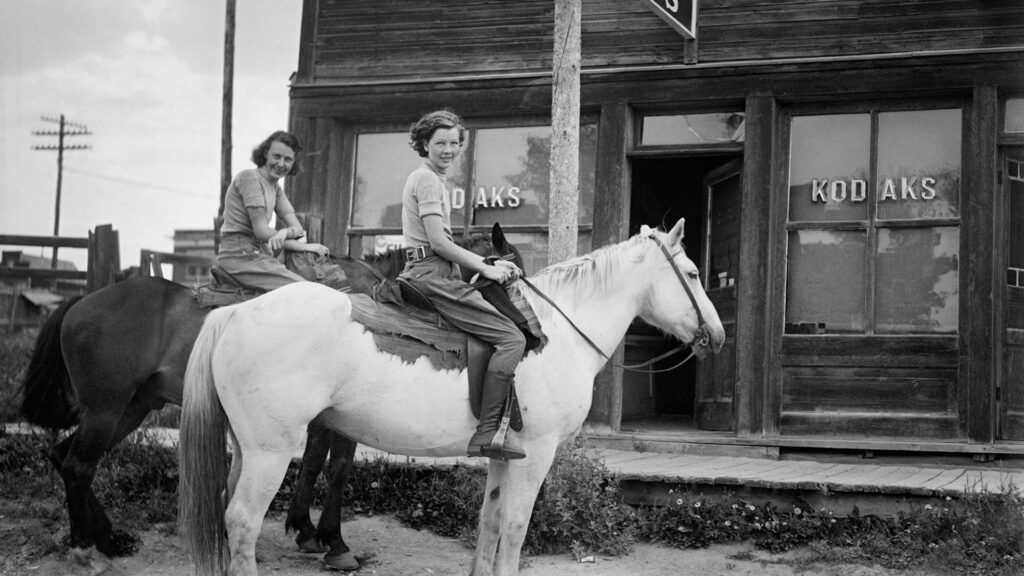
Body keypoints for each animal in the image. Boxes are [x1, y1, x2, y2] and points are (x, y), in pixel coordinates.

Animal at [19, 222, 524, 569]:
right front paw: (331, 540)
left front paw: (307, 530)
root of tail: (82, 302)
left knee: (65, 458)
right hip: (108, 410)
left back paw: (106, 537)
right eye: (509, 273)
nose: (527, 329)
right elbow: (335, 468)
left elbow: (316, 461)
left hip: (132, 408)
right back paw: (87, 547)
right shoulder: (340, 418)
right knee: (78, 464)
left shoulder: (324, 416)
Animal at [178, 217, 720, 569]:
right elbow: (515, 531)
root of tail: (236, 312)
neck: (560, 332)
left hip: (245, 447)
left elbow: (490, 524)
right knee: (242, 522)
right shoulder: (538, 453)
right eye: (693, 274)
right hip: (271, 450)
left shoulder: (506, 455)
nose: (716, 335)